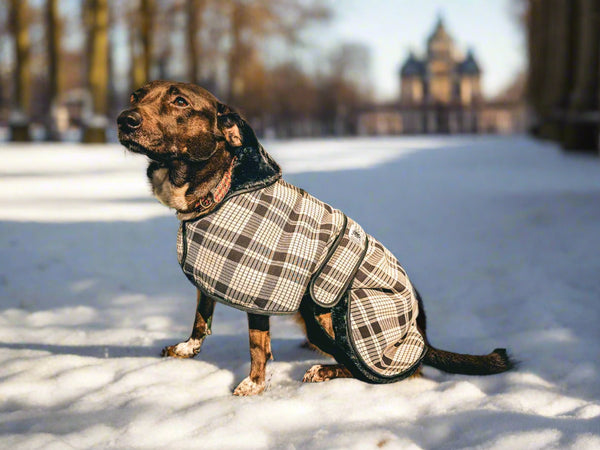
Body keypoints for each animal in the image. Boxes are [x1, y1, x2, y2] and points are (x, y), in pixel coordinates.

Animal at [117, 81, 510, 398]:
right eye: (137, 95)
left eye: (180, 101)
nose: (124, 119)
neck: (222, 189)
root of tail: (424, 339)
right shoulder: (212, 274)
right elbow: (201, 316)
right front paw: (187, 349)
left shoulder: (260, 287)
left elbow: (256, 344)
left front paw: (253, 384)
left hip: (332, 309)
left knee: (385, 371)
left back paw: (325, 369)